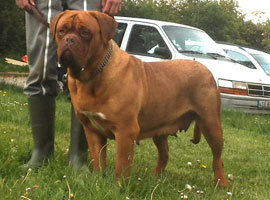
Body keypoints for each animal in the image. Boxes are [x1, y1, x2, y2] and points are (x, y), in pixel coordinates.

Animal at [51, 10, 228, 186]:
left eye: (85, 32)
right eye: (61, 31)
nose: (69, 40)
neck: (94, 75)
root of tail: (206, 69)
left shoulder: (125, 131)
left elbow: (121, 166)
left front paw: (118, 187)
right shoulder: (92, 131)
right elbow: (98, 160)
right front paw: (98, 181)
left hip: (211, 124)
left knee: (217, 158)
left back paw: (222, 184)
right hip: (160, 129)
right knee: (164, 154)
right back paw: (155, 176)